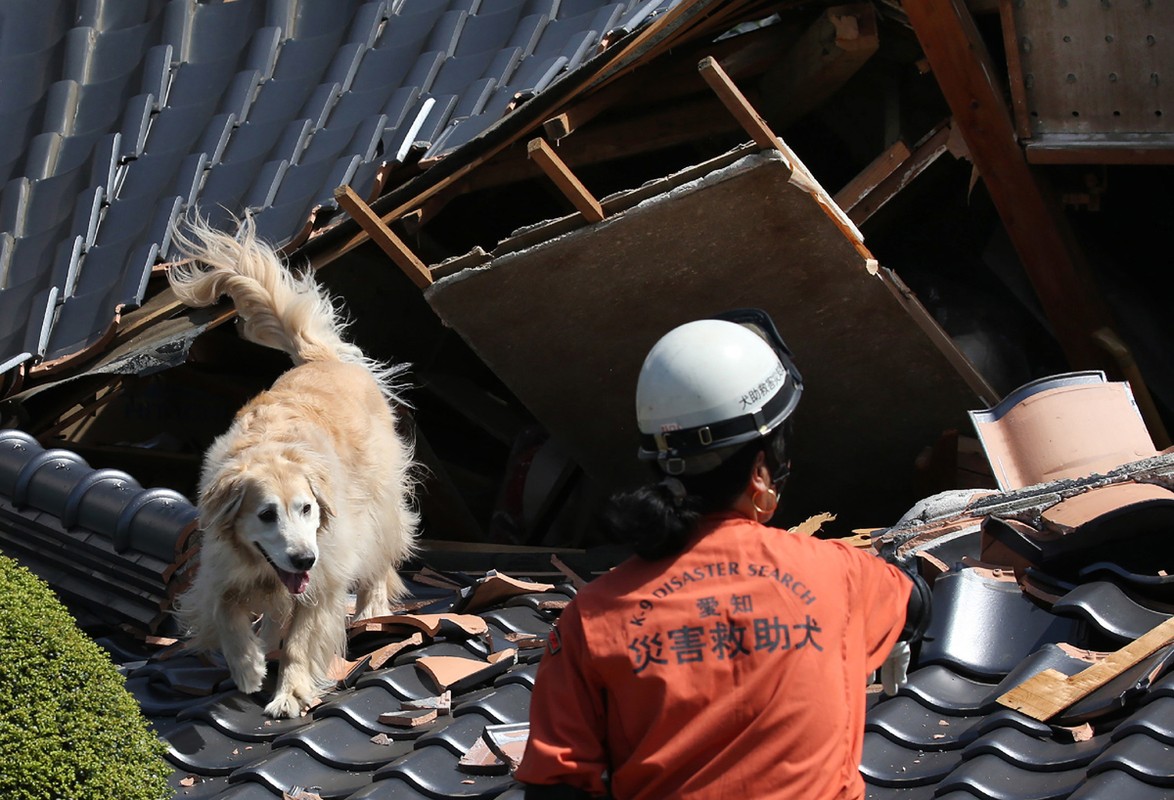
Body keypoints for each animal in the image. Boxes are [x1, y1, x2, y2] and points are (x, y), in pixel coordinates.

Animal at [167, 213, 420, 718]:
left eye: (308, 508)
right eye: (266, 514)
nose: (304, 557)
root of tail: (322, 358)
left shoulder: (323, 578)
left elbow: (303, 641)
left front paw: (289, 692)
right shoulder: (220, 567)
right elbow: (225, 612)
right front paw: (248, 665)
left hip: (378, 504)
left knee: (381, 557)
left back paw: (371, 611)